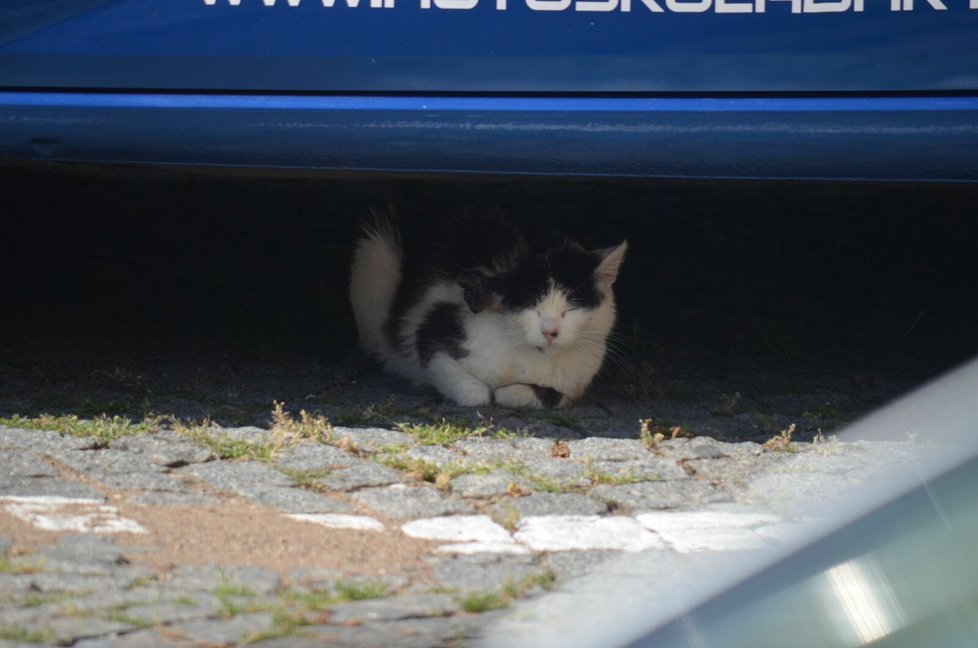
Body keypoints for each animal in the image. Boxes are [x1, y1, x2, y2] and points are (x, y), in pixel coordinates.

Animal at [348, 210, 624, 408]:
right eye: (532, 307)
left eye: (570, 308)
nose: (550, 332)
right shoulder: (433, 329)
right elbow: (467, 387)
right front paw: (480, 392)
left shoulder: (573, 385)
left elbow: (546, 396)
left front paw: (509, 393)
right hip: (375, 254)